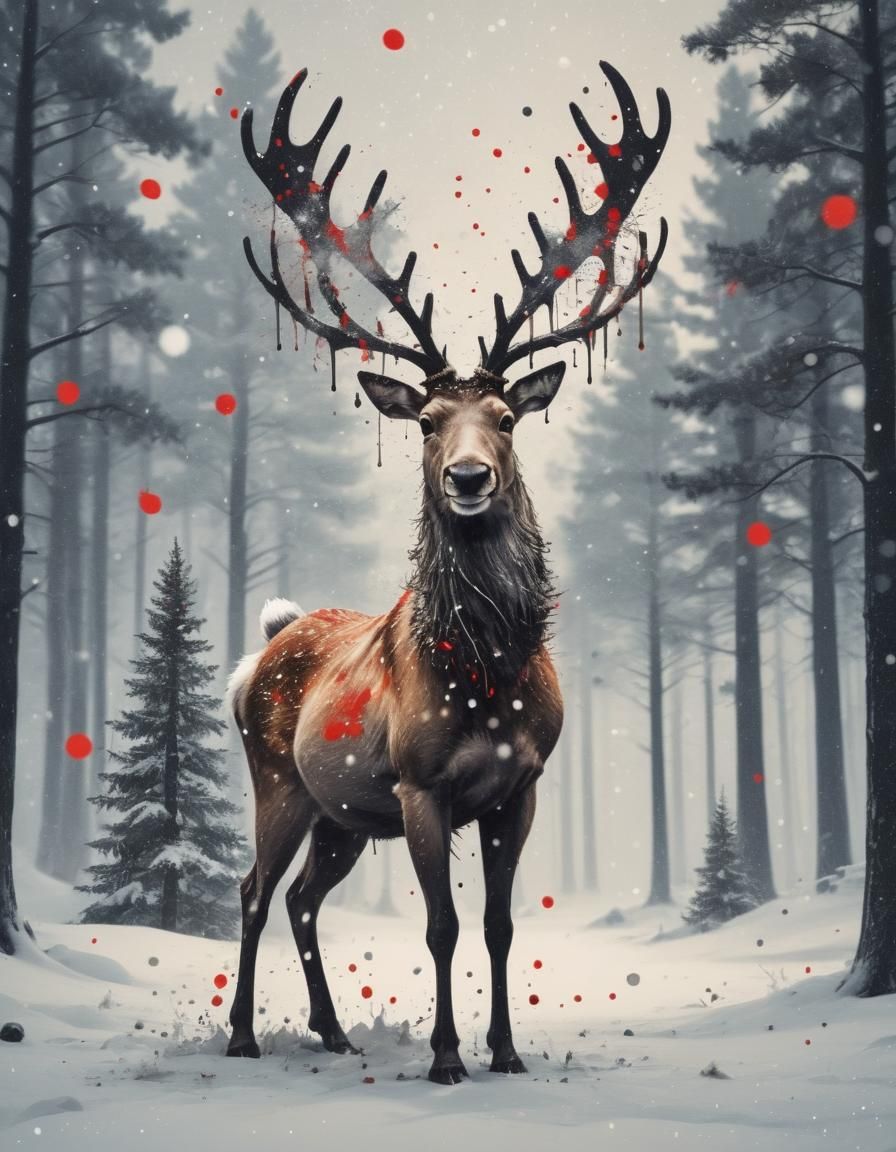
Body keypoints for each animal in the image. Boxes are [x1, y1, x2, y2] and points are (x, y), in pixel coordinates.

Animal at [225, 62, 669, 1084]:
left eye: (506, 417)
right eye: (428, 422)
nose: (470, 478)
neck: (488, 680)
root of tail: (266, 642)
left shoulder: (522, 785)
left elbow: (501, 926)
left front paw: (505, 1051)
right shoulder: (419, 785)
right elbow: (441, 926)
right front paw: (444, 1058)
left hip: (342, 812)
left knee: (303, 897)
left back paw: (334, 1030)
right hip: (278, 778)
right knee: (254, 888)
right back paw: (240, 1036)